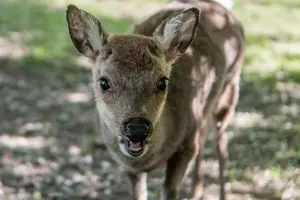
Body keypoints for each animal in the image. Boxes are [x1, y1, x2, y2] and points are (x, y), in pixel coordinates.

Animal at [65, 0, 244, 199]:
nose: (137, 129)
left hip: (229, 88)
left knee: (221, 143)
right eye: (103, 82)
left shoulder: (186, 145)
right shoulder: (127, 166)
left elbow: (170, 191)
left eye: (162, 82)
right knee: (205, 136)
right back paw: (196, 192)